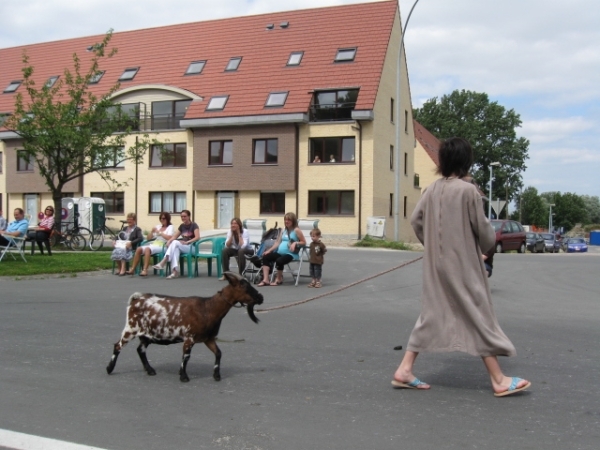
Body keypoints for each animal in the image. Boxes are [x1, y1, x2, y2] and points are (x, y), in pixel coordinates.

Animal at [105, 272, 262, 382]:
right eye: (244, 286)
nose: (260, 297)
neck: (207, 308)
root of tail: (136, 299)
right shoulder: (189, 338)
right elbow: (186, 357)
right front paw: (184, 376)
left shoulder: (208, 338)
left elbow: (218, 353)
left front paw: (217, 375)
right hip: (130, 328)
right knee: (118, 346)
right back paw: (109, 369)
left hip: (146, 334)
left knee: (140, 349)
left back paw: (150, 370)